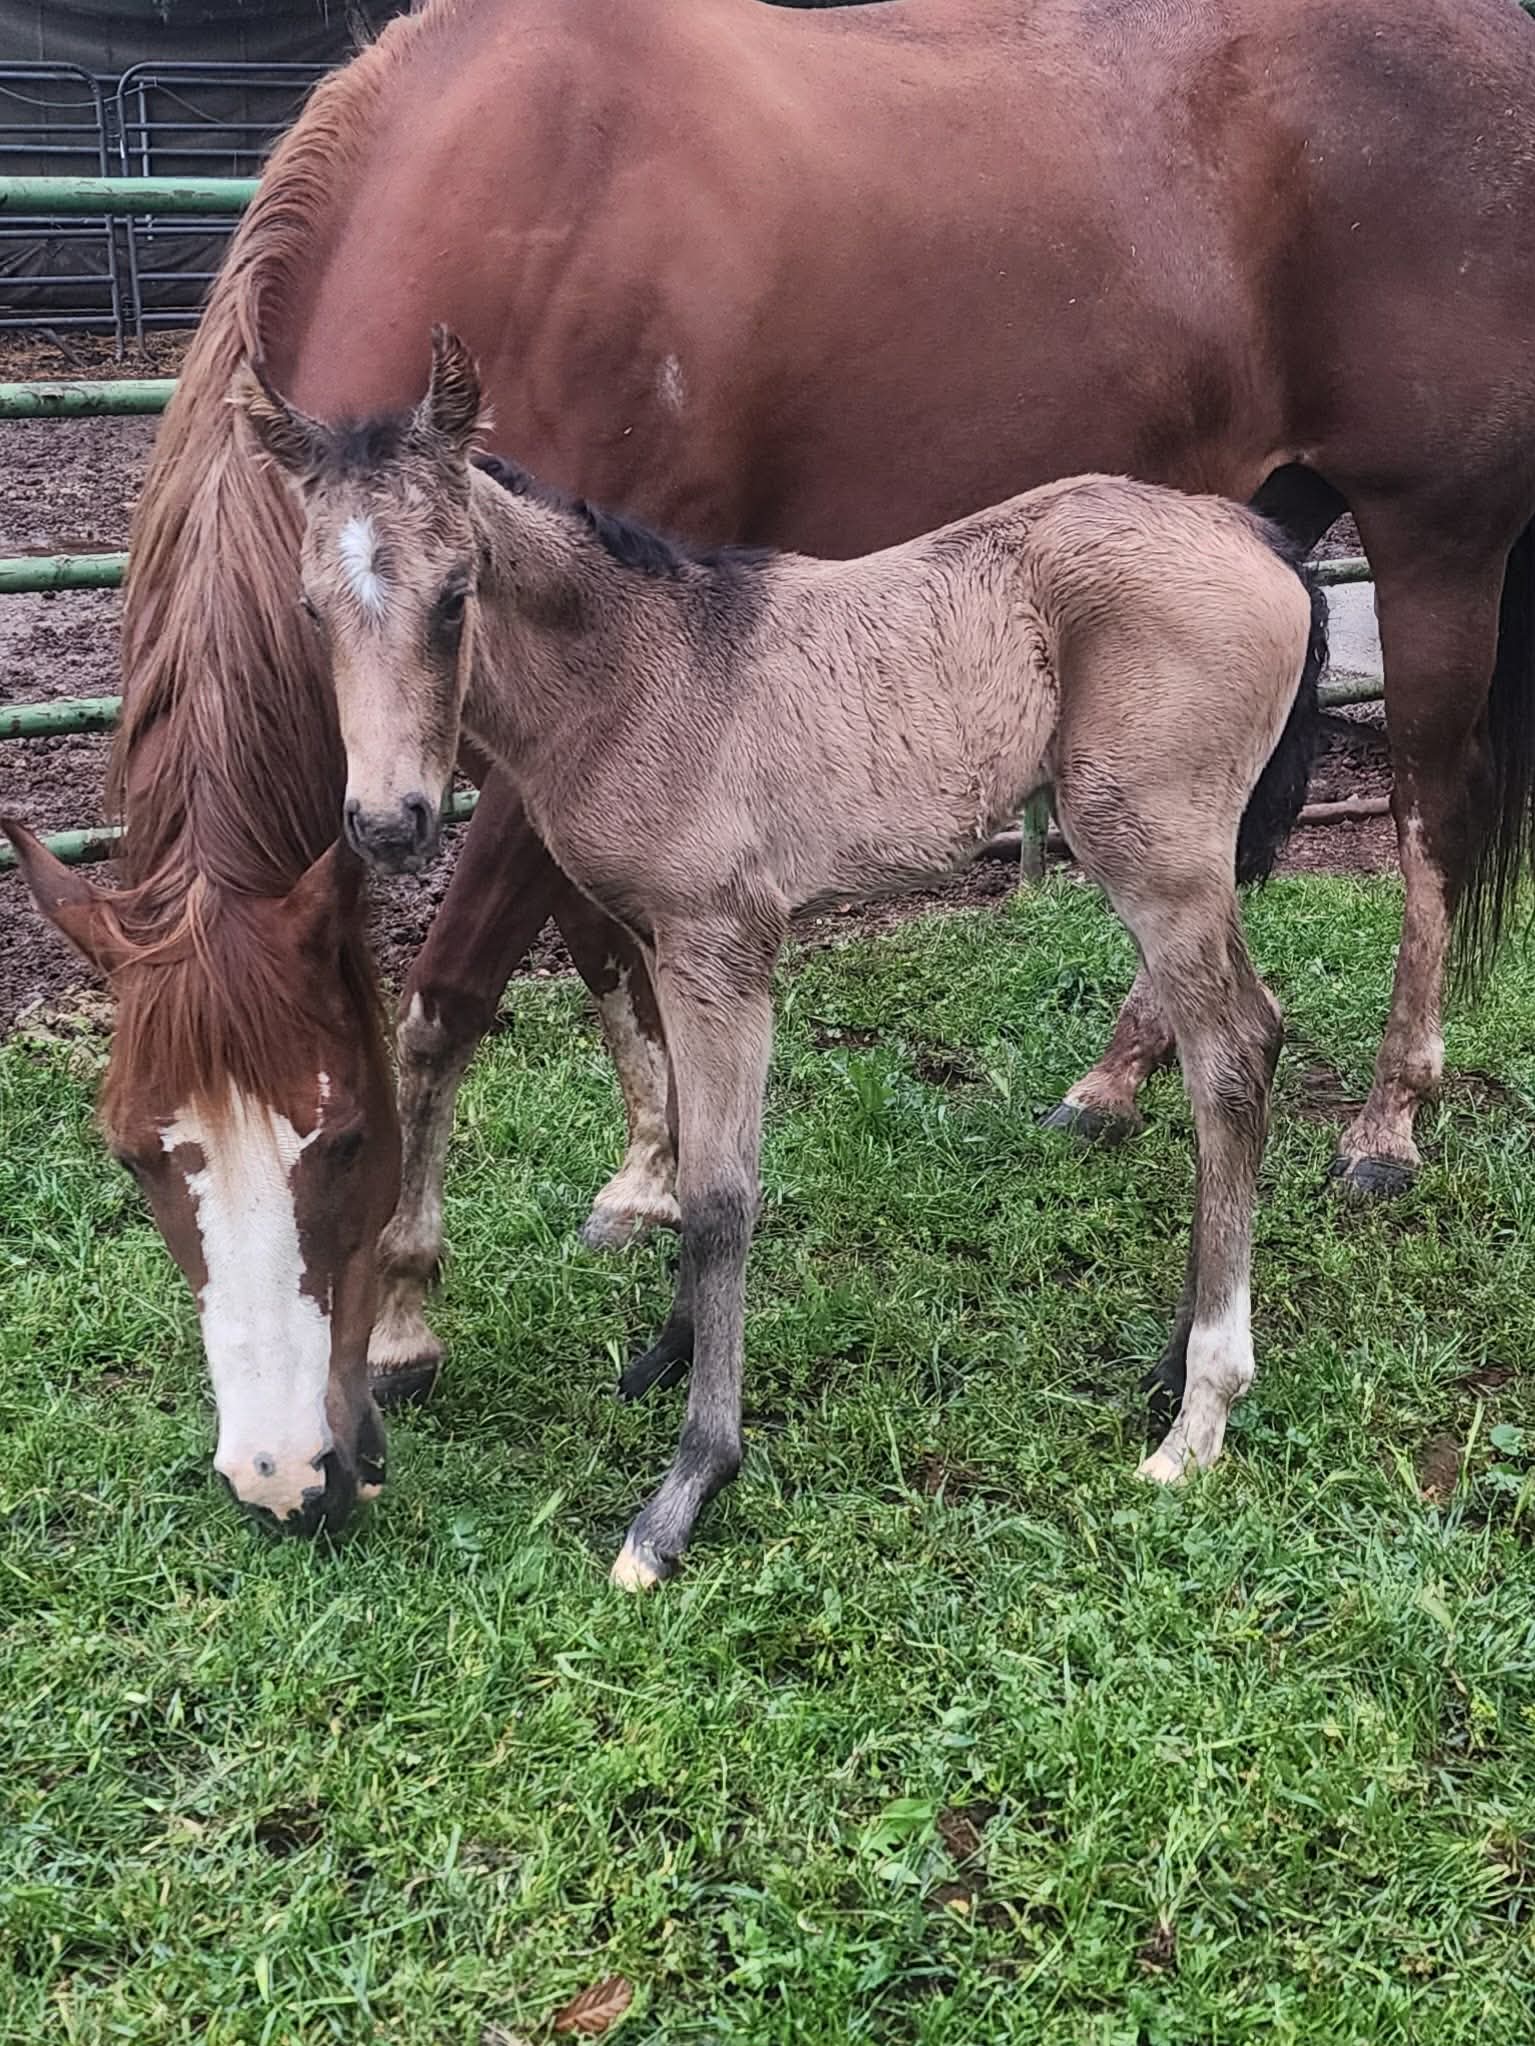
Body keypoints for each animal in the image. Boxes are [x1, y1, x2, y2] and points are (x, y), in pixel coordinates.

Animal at [235, 328, 1327, 1583]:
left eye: (457, 595)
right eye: (313, 608)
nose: (388, 823)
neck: (640, 674)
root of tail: (1257, 538)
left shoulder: (724, 945)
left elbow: (722, 1196)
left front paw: (685, 1488)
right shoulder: (663, 943)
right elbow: (691, 1141)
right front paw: (661, 1354)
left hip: (1155, 854)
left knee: (1231, 1053)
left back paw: (1196, 1417)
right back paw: (1166, 1366)